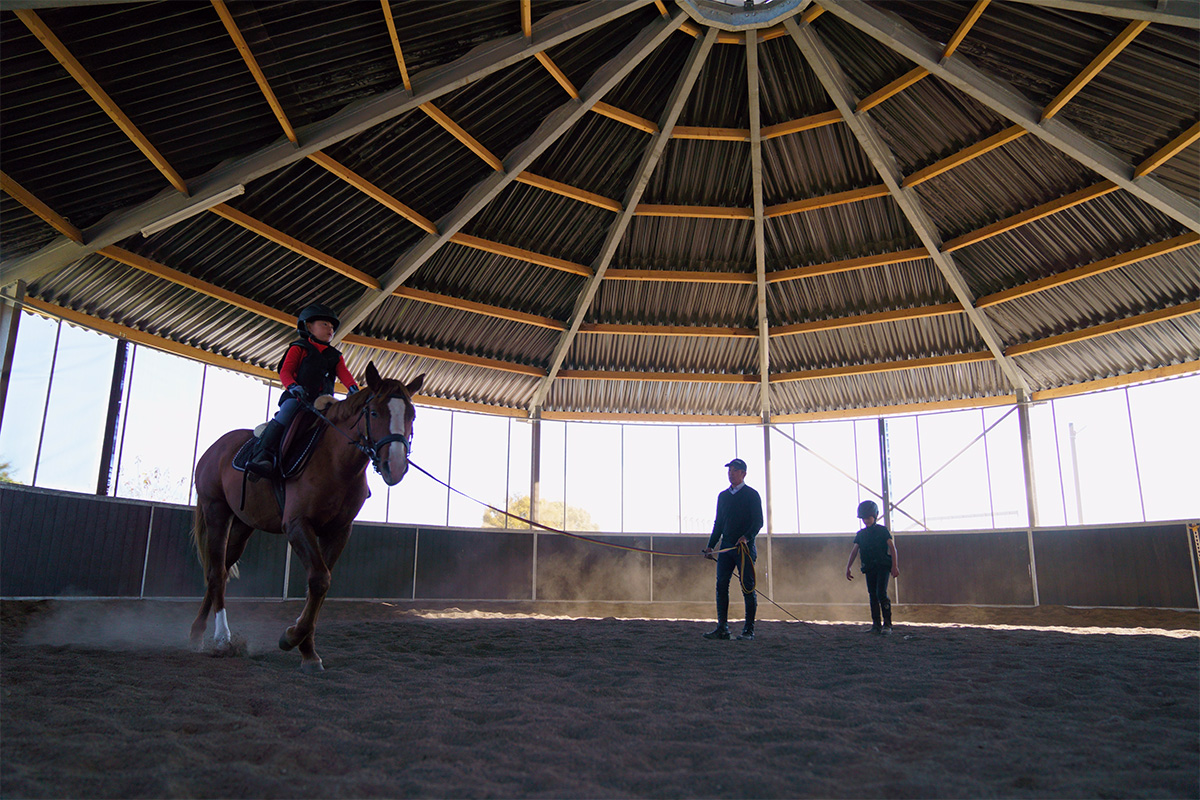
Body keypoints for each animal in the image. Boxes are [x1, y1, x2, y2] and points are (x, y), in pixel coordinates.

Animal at [190, 367, 422, 671]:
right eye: (373, 413)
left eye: (411, 415)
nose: (394, 466)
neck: (335, 463)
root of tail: (215, 448)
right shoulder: (297, 525)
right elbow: (320, 580)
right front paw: (291, 638)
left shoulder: (338, 531)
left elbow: (319, 587)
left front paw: (308, 651)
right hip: (216, 511)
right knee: (216, 571)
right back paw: (221, 638)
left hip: (243, 525)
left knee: (221, 569)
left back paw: (198, 632)